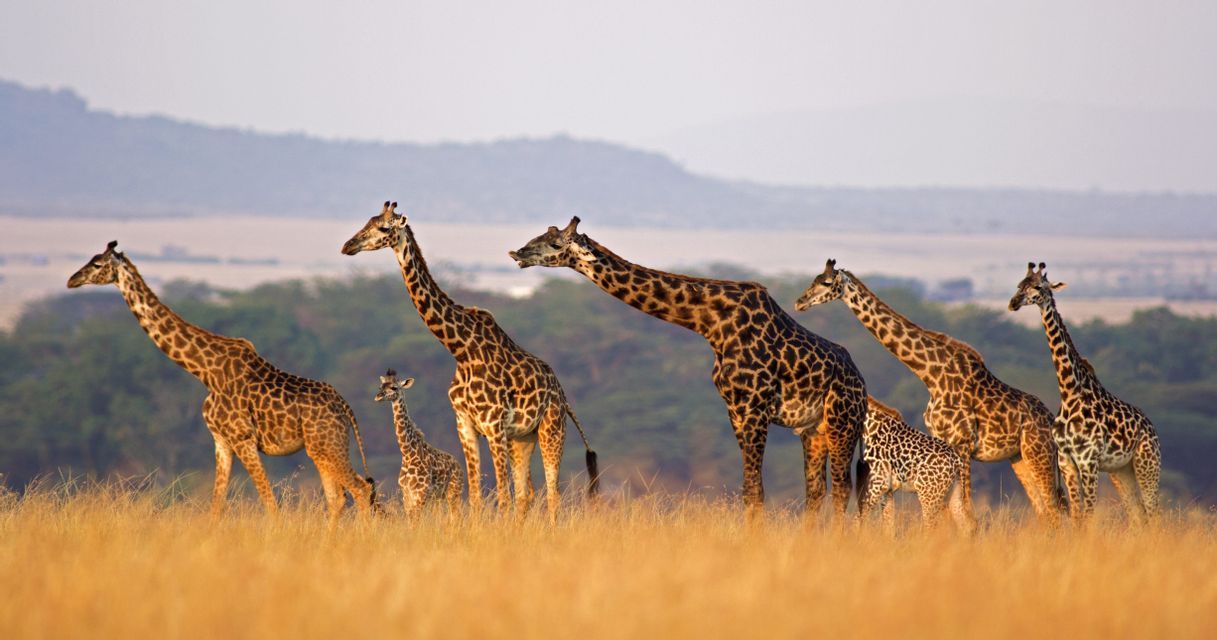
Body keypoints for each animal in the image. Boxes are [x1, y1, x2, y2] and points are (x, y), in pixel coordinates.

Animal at [67, 241, 377, 524]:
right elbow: (216, 506)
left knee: (361, 489)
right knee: (338, 498)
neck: (204, 371)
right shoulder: (221, 440)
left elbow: (270, 503)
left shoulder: (242, 438)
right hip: (322, 448)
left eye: (97, 264)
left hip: (326, 445)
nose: (72, 280)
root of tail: (346, 407)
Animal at [374, 369, 462, 519]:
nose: (378, 396)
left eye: (394, 387)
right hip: (439, 497)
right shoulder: (406, 494)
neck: (408, 454)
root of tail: (459, 465)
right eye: (381, 386)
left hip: (454, 492)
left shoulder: (420, 493)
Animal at [509, 217, 868, 520]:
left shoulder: (754, 408)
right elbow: (749, 490)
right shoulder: (735, 409)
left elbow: (755, 490)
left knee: (842, 488)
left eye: (555, 243)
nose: (517, 252)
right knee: (816, 490)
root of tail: (862, 386)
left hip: (842, 423)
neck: (711, 322)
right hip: (813, 430)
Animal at [808, 396, 974, 535]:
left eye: (827, 410)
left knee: (933, 529)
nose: (818, 428)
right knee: (967, 526)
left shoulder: (877, 485)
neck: (870, 428)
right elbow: (888, 526)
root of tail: (957, 461)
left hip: (929, 496)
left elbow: (858, 520)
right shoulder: (887, 490)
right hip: (953, 495)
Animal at [1009, 262, 1161, 523]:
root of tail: (1152, 429)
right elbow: (1078, 517)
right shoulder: (1066, 461)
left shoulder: (1088, 461)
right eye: (1020, 285)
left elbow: (1087, 516)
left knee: (1154, 513)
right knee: (1138, 514)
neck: (1070, 392)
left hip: (1147, 464)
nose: (1013, 302)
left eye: (1038, 287)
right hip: (1122, 470)